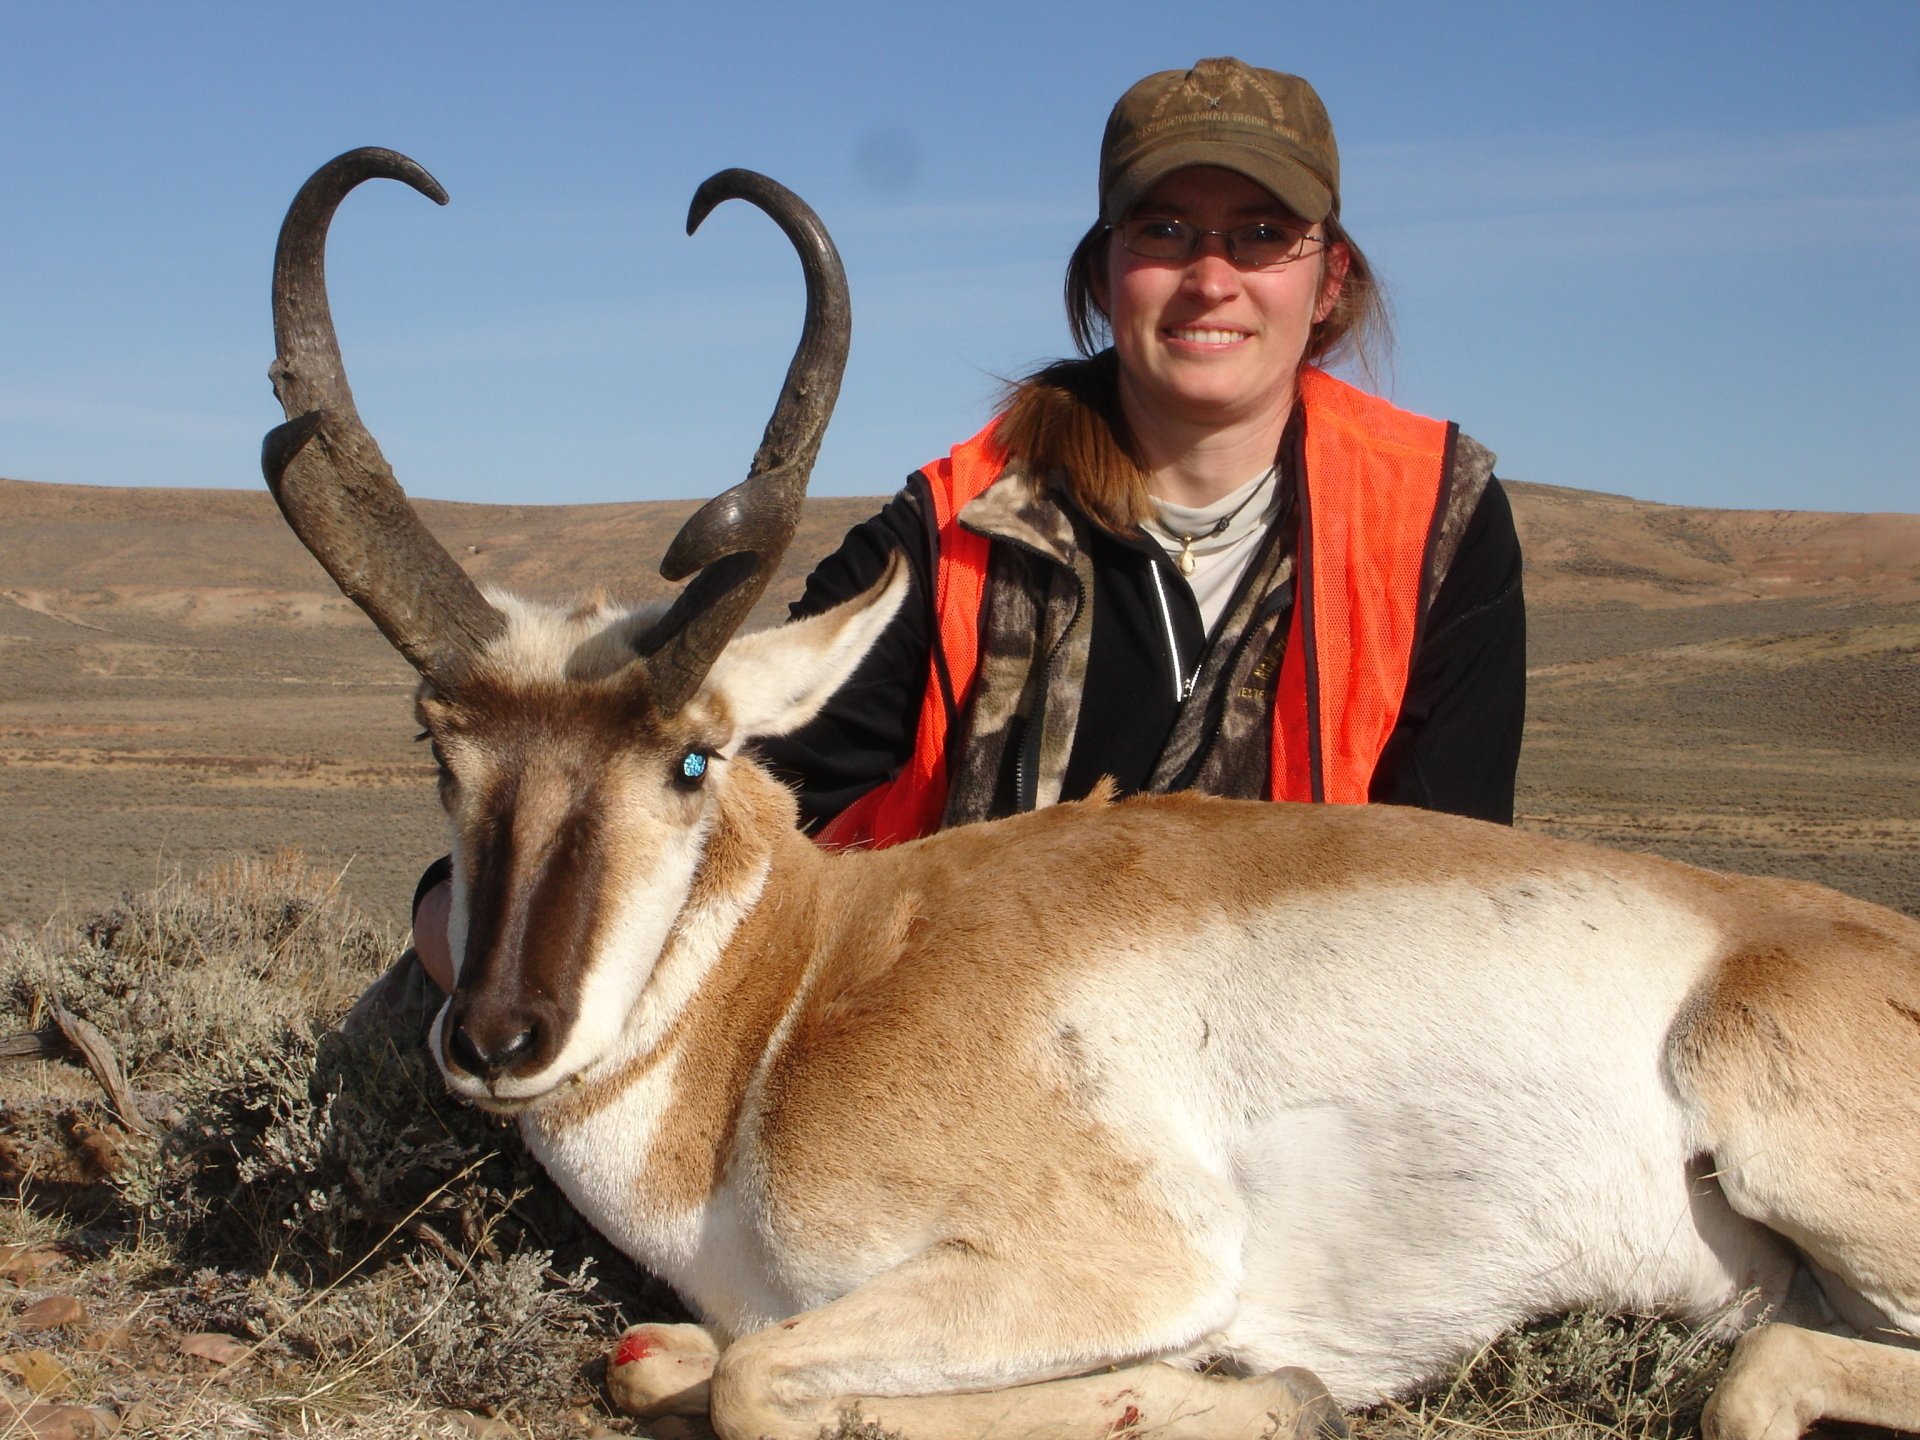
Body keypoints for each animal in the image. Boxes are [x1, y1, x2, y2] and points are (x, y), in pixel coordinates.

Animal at [265, 148, 1920, 1440]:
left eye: (689, 756)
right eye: (440, 749)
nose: (498, 1037)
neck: (804, 988)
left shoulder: (1116, 1261)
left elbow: (756, 1380)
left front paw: (1252, 1388)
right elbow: (670, 1356)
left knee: (1764, 1372)